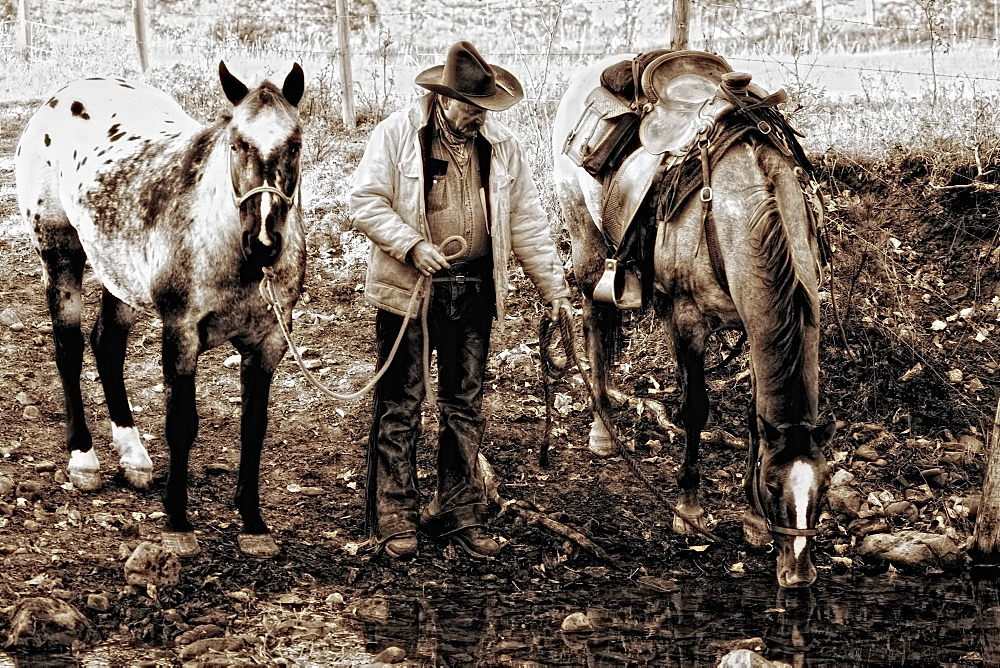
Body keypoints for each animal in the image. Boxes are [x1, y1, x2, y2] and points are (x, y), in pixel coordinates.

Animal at [14, 62, 304, 556]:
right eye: (236, 143)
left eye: (296, 144)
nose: (264, 241)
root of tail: (62, 96)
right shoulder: (181, 333)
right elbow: (182, 423)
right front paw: (178, 522)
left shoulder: (267, 344)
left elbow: (254, 425)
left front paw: (253, 523)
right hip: (61, 255)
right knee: (69, 351)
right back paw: (84, 459)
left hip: (118, 273)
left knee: (107, 346)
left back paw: (133, 456)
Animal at [556, 51, 836, 584]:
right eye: (775, 488)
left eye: (825, 488)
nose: (797, 574)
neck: (739, 210)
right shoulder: (691, 319)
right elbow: (695, 409)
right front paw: (688, 511)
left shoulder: (749, 327)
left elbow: (753, 418)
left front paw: (752, 522)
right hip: (586, 241)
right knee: (595, 322)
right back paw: (602, 430)